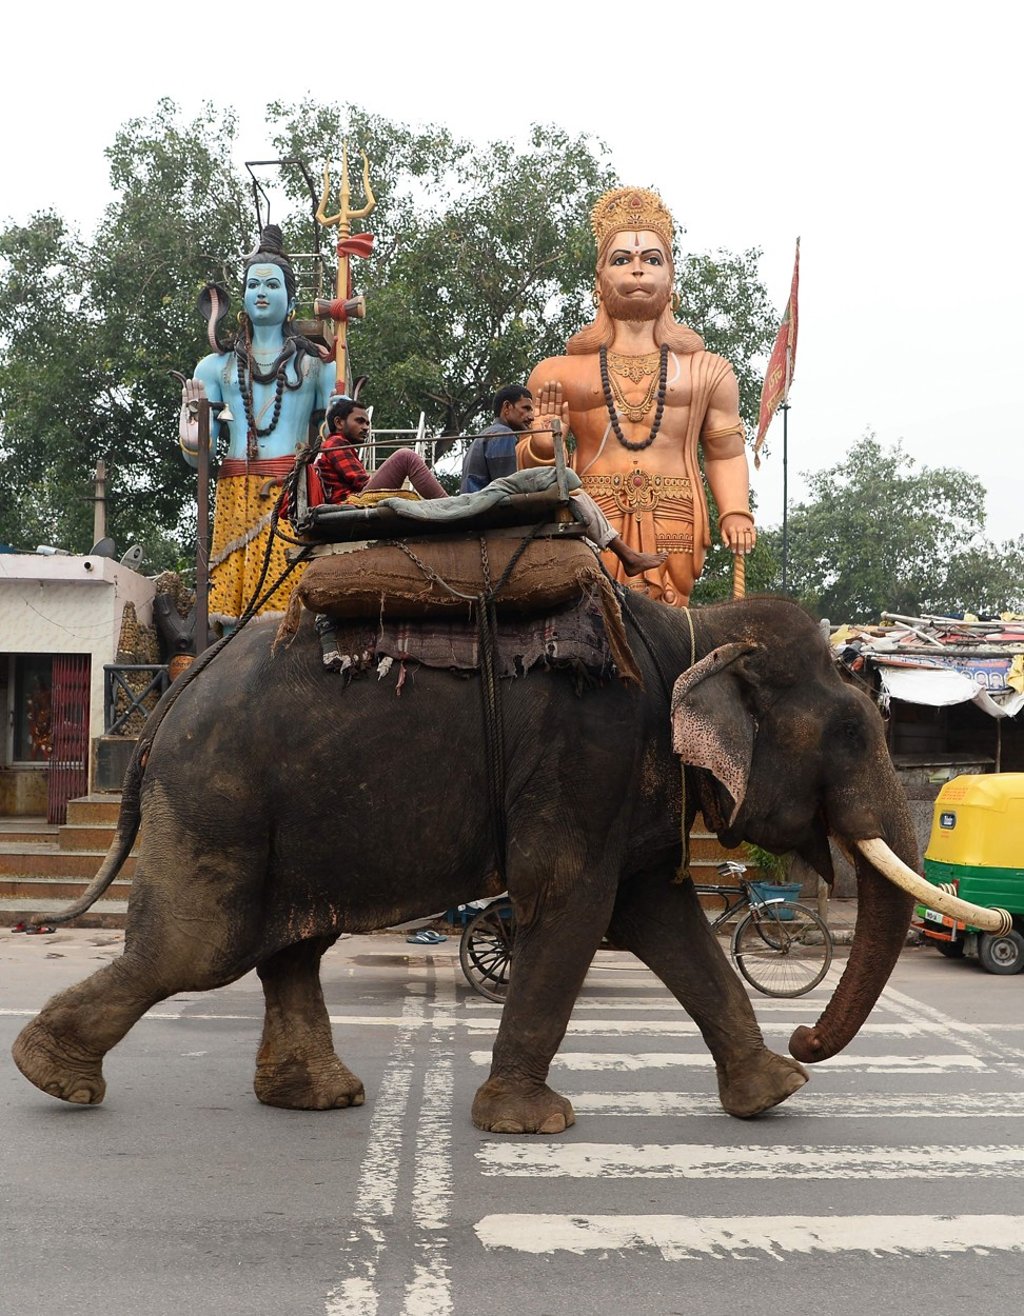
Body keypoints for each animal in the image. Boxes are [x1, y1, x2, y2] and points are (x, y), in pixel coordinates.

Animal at [12, 593, 1003, 1132]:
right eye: (852, 735)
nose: (806, 1037)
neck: (695, 629)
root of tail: (164, 708)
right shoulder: (587, 753)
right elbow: (573, 906)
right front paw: (532, 1124)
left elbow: (656, 916)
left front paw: (772, 1095)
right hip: (219, 795)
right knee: (198, 949)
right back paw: (51, 1074)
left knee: (290, 946)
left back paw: (319, 1097)